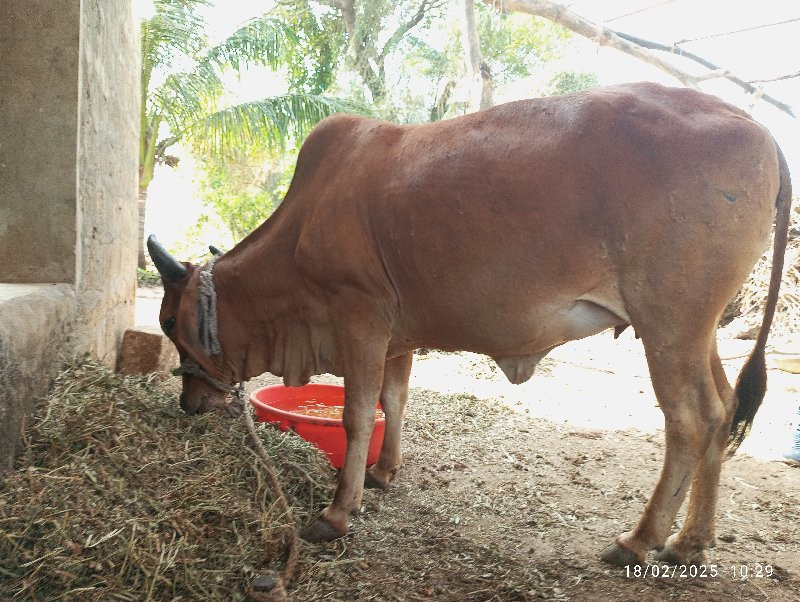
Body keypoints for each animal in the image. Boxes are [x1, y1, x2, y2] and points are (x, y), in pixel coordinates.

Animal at [147, 82, 792, 564]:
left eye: (171, 321)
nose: (187, 403)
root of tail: (753, 124)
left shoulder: (359, 316)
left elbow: (357, 414)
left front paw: (336, 513)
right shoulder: (397, 335)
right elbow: (393, 401)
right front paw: (384, 474)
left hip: (668, 324)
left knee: (692, 419)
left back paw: (640, 540)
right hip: (696, 329)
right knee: (725, 410)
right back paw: (691, 541)